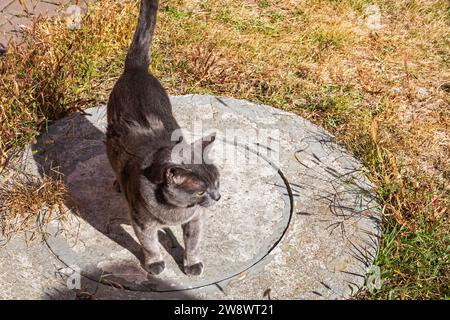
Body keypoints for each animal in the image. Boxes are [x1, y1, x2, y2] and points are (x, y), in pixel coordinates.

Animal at [104, 0, 220, 276]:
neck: (175, 213)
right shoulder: (141, 222)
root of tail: (136, 70)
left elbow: (193, 243)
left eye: (217, 182)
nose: (217, 197)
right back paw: (117, 183)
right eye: (201, 191)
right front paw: (155, 264)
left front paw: (192, 264)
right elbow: (149, 244)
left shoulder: (195, 220)